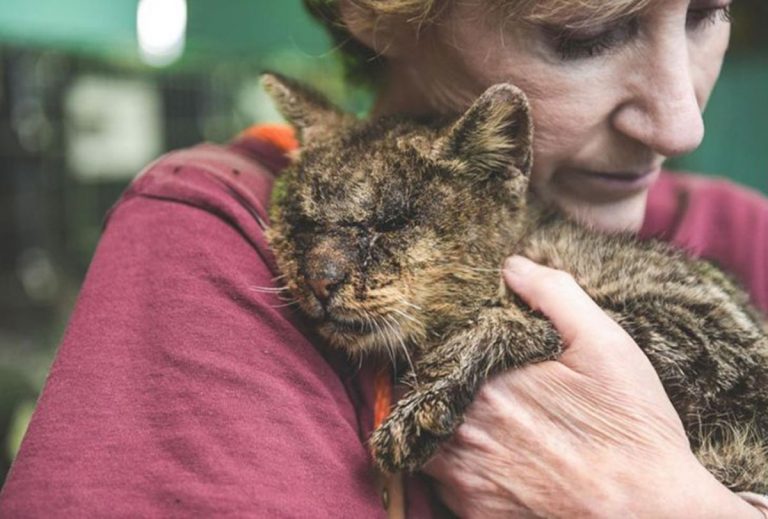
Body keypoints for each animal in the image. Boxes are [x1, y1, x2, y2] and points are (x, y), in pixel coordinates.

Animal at [260, 72, 764, 492]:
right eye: (302, 224)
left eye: (390, 224)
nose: (319, 280)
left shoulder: (722, 341)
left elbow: (510, 317)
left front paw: (422, 406)